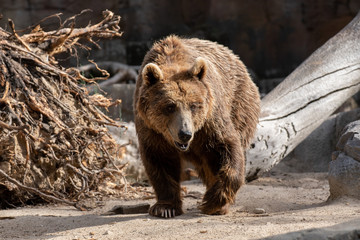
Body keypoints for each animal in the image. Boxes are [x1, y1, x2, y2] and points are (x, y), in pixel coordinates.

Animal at [134, 35, 260, 218]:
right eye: (170, 106)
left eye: (194, 105)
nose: (185, 133)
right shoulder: (151, 129)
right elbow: (160, 160)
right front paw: (165, 207)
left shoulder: (210, 121)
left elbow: (227, 147)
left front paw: (212, 202)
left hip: (240, 105)